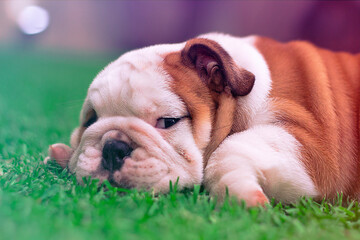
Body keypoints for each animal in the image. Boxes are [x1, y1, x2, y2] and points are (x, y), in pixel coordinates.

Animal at [47, 33, 360, 206]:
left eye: (168, 121)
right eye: (90, 121)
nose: (113, 147)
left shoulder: (312, 144)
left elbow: (232, 147)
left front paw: (239, 191)